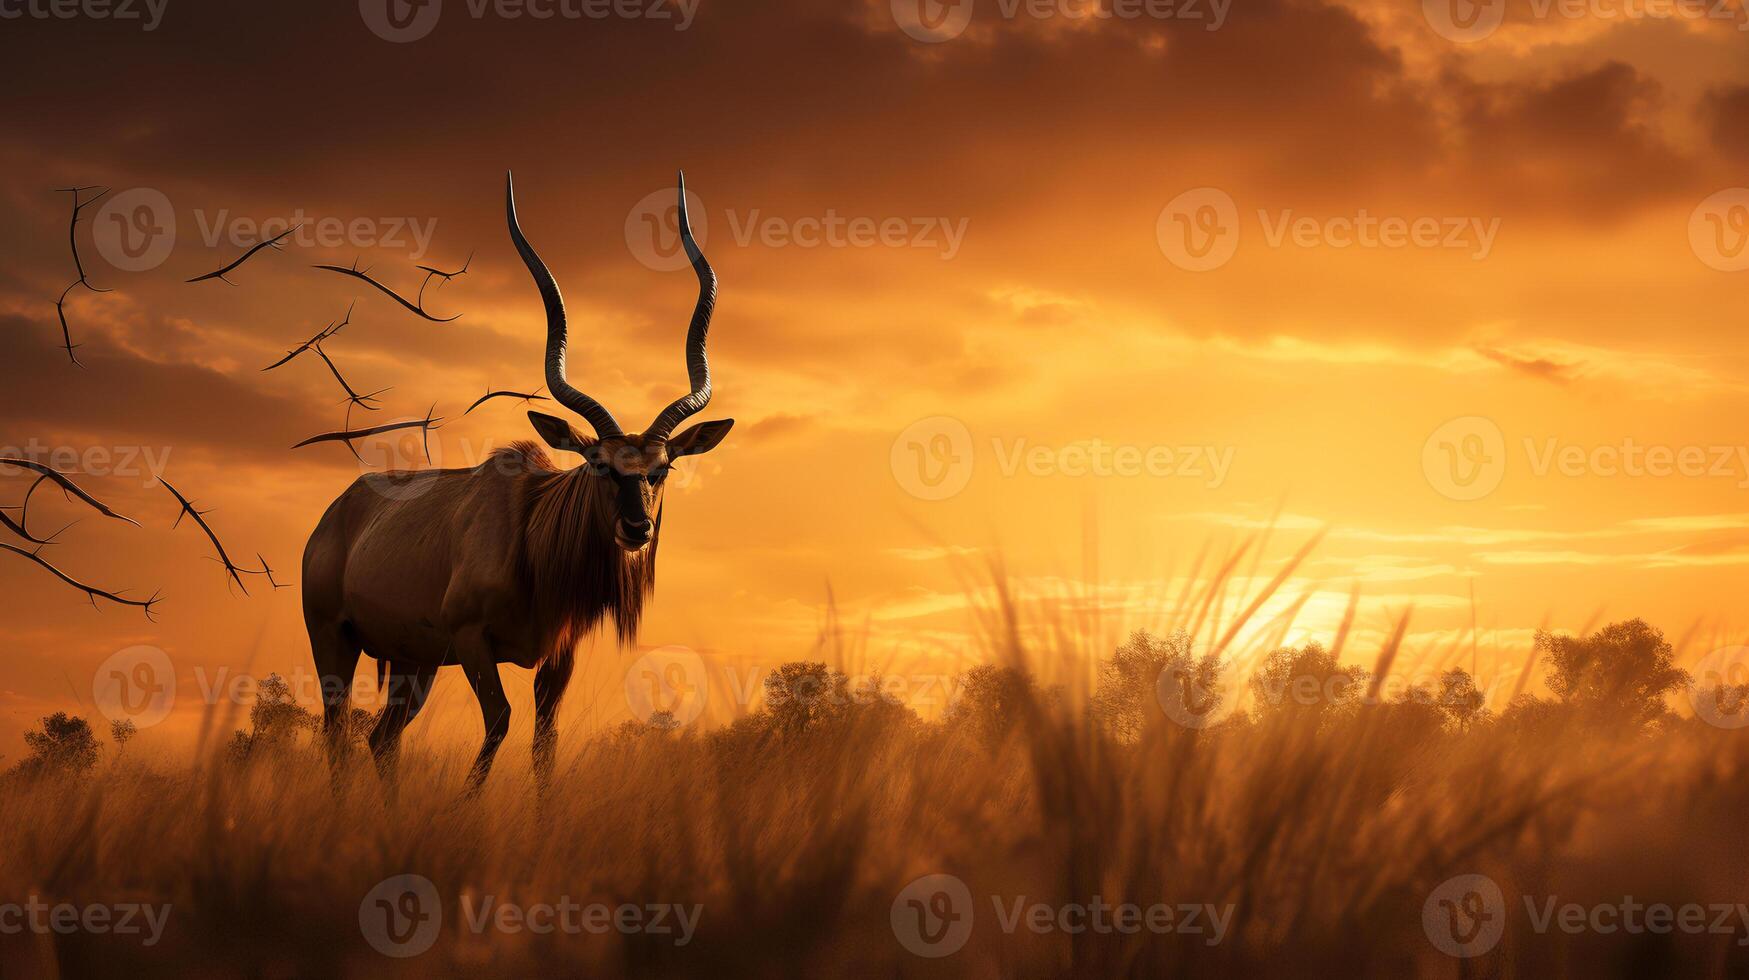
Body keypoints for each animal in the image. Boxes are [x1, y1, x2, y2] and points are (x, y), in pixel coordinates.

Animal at [300, 174, 731, 787]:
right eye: (599, 462)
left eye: (661, 467)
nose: (636, 528)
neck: (533, 531)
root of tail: (336, 513)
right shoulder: (472, 640)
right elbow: (501, 720)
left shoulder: (557, 657)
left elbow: (543, 741)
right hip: (334, 643)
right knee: (338, 734)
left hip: (413, 661)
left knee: (381, 739)